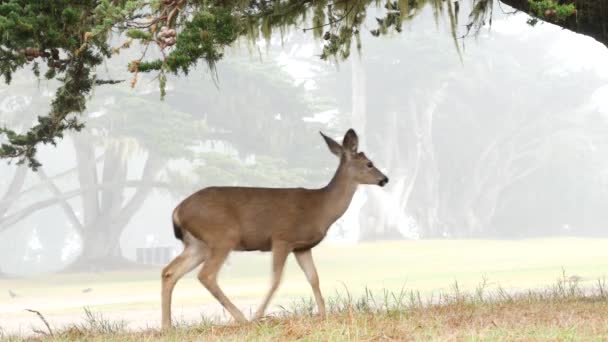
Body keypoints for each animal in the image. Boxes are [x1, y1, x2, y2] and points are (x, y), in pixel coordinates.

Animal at [162, 128, 390, 328]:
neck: (322, 208)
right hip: (223, 236)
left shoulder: (302, 247)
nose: (384, 179)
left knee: (169, 271)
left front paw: (323, 315)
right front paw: (258, 316)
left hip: (198, 244)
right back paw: (243, 319)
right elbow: (276, 280)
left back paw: (167, 326)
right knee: (206, 275)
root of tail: (177, 211)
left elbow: (314, 278)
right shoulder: (282, 238)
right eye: (370, 164)